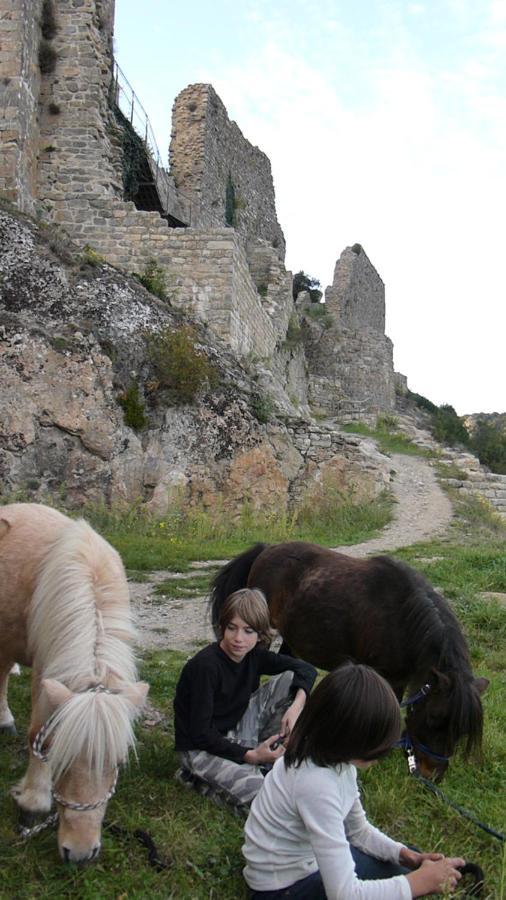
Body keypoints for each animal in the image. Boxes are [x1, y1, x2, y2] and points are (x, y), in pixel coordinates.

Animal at [0, 502, 148, 860]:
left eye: (118, 762)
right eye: (58, 754)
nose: (80, 853)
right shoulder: (47, 667)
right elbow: (36, 732)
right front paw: (33, 802)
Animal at [209, 540, 486, 780]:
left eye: (461, 731)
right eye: (434, 719)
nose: (432, 774)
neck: (400, 620)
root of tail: (267, 550)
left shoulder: (400, 678)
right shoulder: (382, 676)